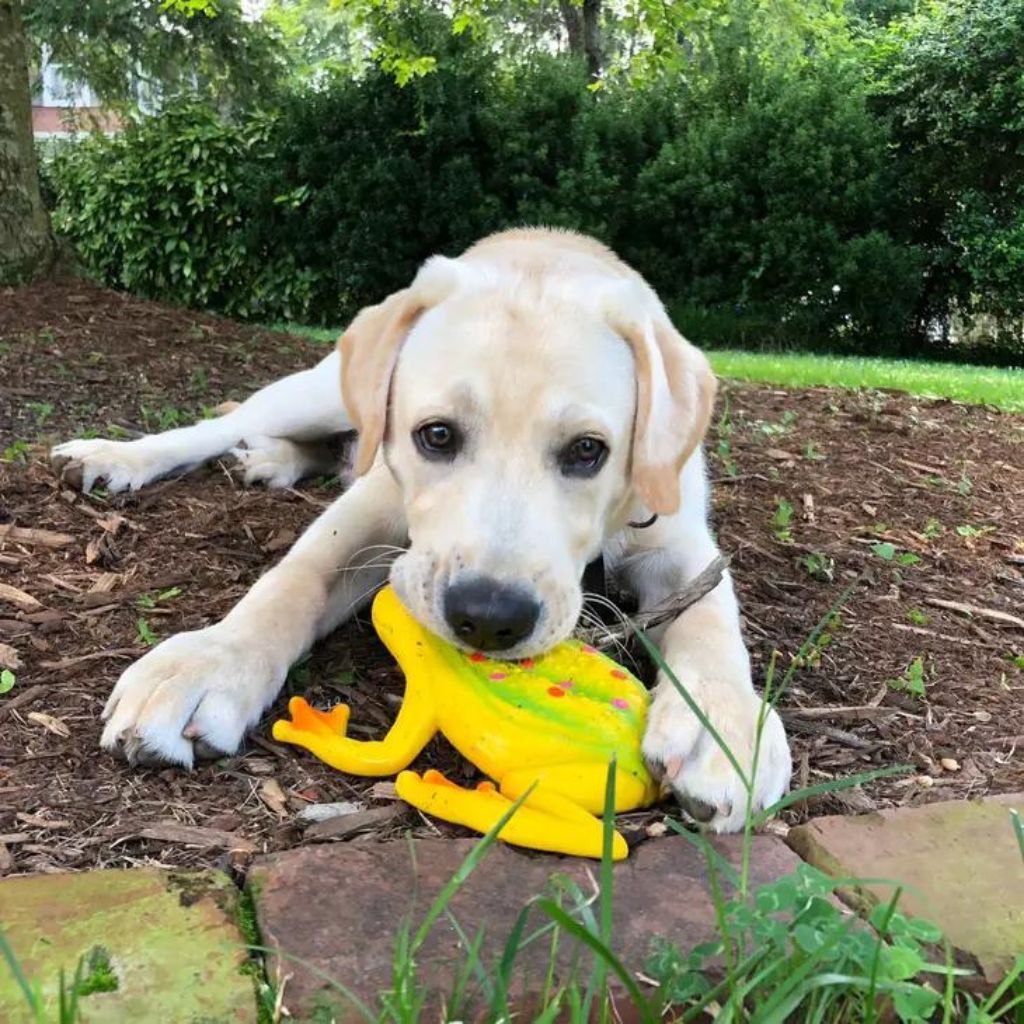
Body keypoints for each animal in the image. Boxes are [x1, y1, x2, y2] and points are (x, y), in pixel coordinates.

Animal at [49, 226, 790, 831]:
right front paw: (211, 662)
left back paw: (271, 459)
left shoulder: (681, 542)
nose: (488, 617)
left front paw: (725, 725)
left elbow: (712, 622)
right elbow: (297, 577)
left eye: (588, 451)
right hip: (315, 390)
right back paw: (117, 456)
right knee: (220, 425)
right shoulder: (375, 499)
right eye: (435, 435)